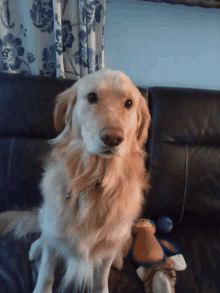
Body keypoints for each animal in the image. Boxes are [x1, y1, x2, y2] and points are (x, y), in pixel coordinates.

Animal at [0, 69, 150, 292]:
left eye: (129, 103)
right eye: (92, 97)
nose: (112, 139)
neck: (95, 180)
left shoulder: (108, 243)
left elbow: (101, 278)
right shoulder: (55, 236)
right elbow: (46, 273)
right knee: (42, 232)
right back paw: (36, 247)